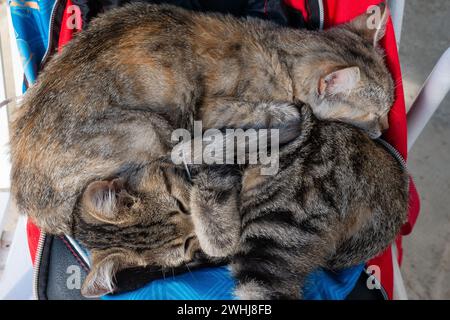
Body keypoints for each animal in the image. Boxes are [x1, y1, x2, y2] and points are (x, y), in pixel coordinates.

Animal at [11, 2, 394, 235]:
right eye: (374, 114)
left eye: (389, 110)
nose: (384, 131)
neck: (281, 53)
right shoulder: (212, 109)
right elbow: (282, 112)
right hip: (150, 128)